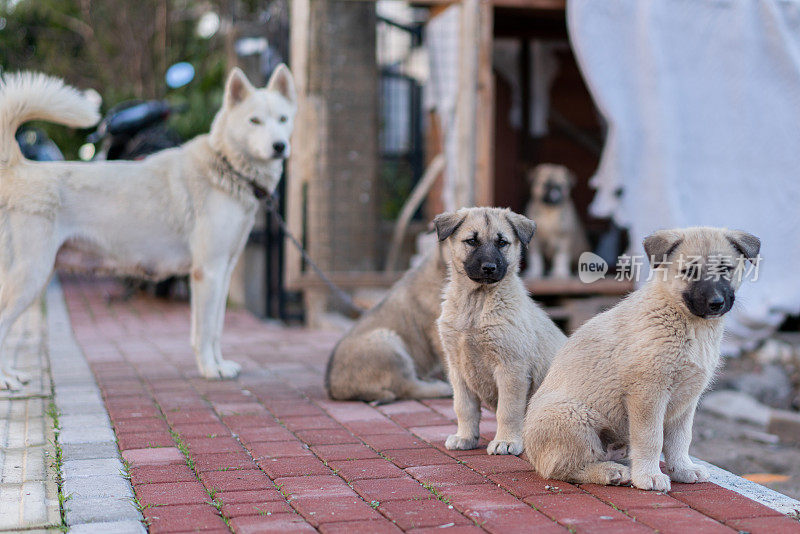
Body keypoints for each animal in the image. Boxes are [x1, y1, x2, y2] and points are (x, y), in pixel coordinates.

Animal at [0, 66, 296, 390]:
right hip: (29, 275)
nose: (280, 146)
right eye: (254, 121)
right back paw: (6, 381)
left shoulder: (223, 272)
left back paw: (11, 375)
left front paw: (220, 365)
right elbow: (204, 331)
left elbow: (216, 329)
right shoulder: (207, 272)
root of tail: (17, 167)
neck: (226, 166)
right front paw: (209, 369)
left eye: (283, 119)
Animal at [434, 206, 564, 456]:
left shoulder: (511, 367)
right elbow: (464, 407)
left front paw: (506, 441)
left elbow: (508, 410)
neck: (477, 303)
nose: (489, 268)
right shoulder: (457, 369)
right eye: (472, 241)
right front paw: (465, 437)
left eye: (502, 242)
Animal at [524, 228, 764, 492]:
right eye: (690, 271)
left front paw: (683, 469)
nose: (716, 303)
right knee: (560, 468)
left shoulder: (687, 399)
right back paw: (610, 472)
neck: (686, 321)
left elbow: (680, 439)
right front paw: (649, 476)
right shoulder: (648, 393)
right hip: (572, 417)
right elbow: (651, 439)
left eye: (725, 268)